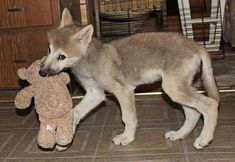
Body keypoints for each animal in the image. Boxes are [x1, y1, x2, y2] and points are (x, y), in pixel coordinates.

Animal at [40, 8, 218, 149]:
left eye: (61, 56)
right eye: (49, 50)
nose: (41, 73)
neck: (91, 59)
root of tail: (195, 45)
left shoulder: (123, 91)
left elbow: (128, 118)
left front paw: (127, 138)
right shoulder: (94, 94)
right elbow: (75, 113)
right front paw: (65, 139)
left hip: (174, 89)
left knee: (209, 105)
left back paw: (204, 139)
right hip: (178, 90)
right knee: (194, 113)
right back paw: (180, 134)